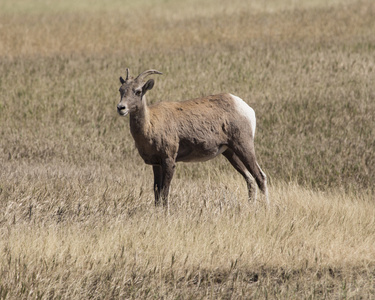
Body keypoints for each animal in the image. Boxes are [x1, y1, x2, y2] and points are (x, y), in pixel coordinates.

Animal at [117, 69, 268, 207]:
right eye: (121, 90)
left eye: (138, 91)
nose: (121, 108)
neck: (150, 124)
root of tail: (246, 108)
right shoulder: (156, 164)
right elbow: (157, 194)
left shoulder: (169, 161)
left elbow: (165, 193)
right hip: (230, 153)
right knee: (250, 179)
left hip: (244, 147)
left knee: (260, 177)